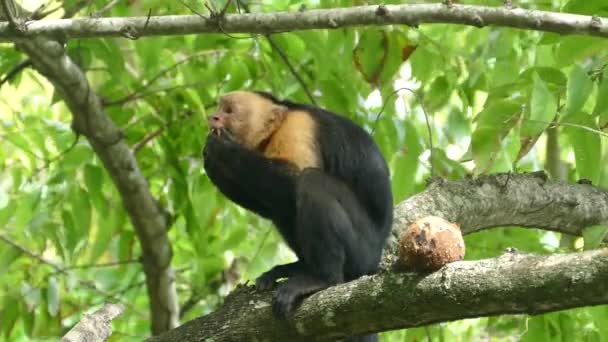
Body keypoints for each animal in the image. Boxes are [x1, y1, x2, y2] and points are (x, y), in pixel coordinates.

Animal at [203, 91, 394, 342]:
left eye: (228, 111)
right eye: (219, 108)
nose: (212, 117)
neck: (274, 131)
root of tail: (375, 259)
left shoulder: (298, 127)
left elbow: (292, 183)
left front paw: (222, 149)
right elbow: (274, 203)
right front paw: (211, 163)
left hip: (363, 251)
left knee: (310, 181)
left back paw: (323, 279)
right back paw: (299, 268)